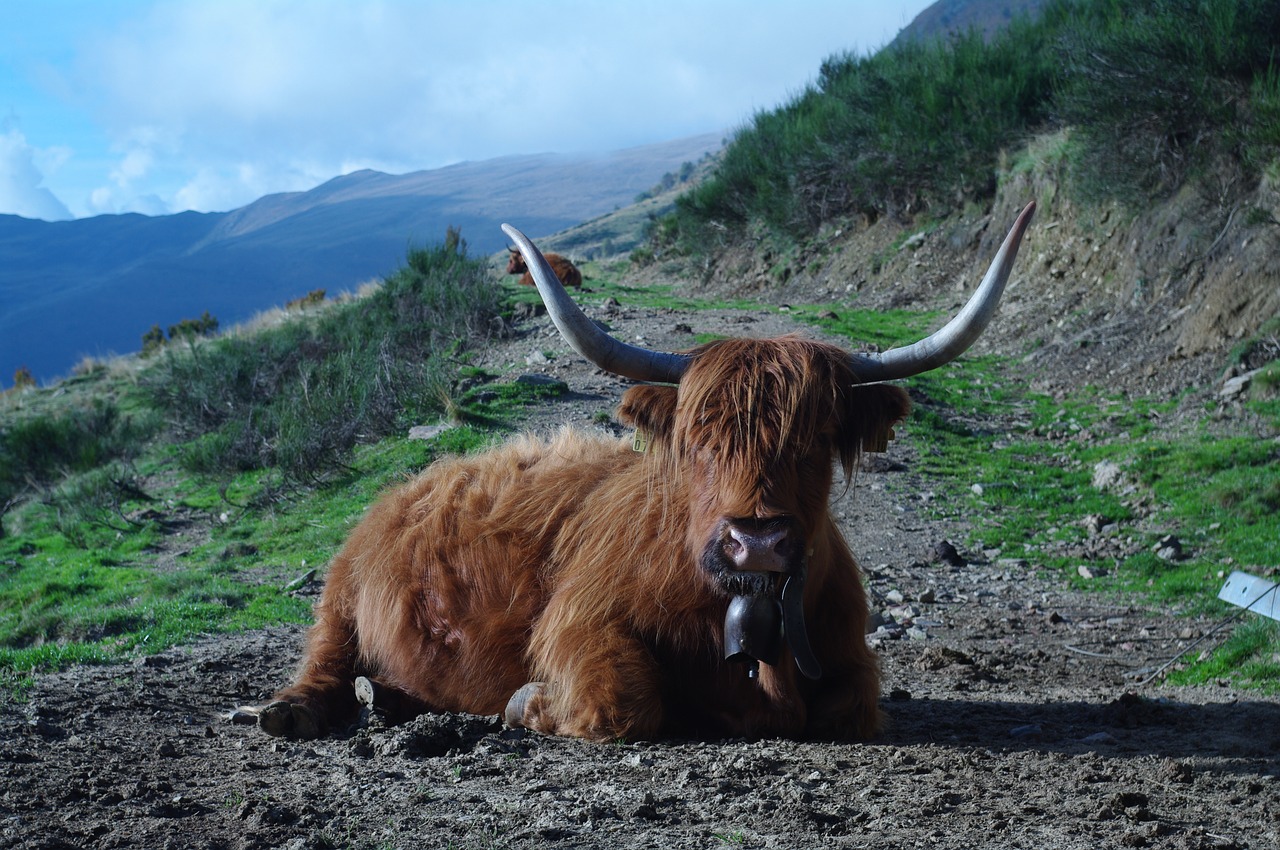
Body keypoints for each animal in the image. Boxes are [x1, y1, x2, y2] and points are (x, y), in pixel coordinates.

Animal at [252, 202, 1039, 742]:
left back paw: (387, 697)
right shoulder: (580, 620)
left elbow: (851, 704)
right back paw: (292, 712)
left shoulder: (849, 657)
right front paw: (528, 702)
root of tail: (419, 481)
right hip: (342, 591)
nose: (756, 543)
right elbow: (625, 699)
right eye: (696, 438)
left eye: (817, 438)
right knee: (324, 655)